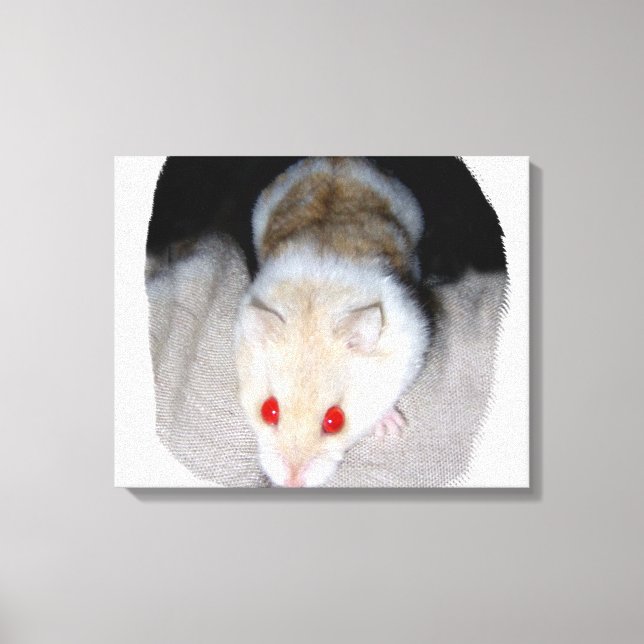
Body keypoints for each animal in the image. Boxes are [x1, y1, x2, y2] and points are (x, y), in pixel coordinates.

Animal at [234, 157, 430, 487]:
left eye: (335, 420)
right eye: (268, 411)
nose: (292, 483)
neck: (316, 304)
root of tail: (336, 159)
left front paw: (393, 428)